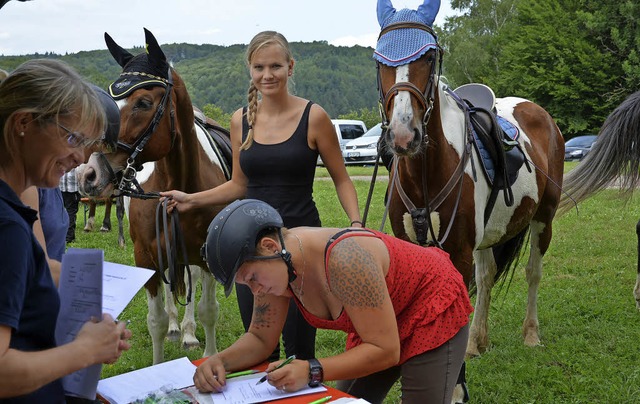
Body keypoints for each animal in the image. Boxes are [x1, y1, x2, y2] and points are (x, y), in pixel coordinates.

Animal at [76, 27, 230, 362]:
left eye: (143, 103)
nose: (89, 174)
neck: (180, 181)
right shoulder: (145, 258)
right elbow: (155, 321)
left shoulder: (206, 256)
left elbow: (208, 310)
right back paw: (176, 326)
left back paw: (187, 331)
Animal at [376, 0, 564, 360]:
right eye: (378, 59)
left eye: (429, 57)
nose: (404, 135)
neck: (424, 176)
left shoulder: (459, 252)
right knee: (487, 275)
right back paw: (477, 341)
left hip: (543, 217)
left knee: (533, 272)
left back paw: (530, 334)